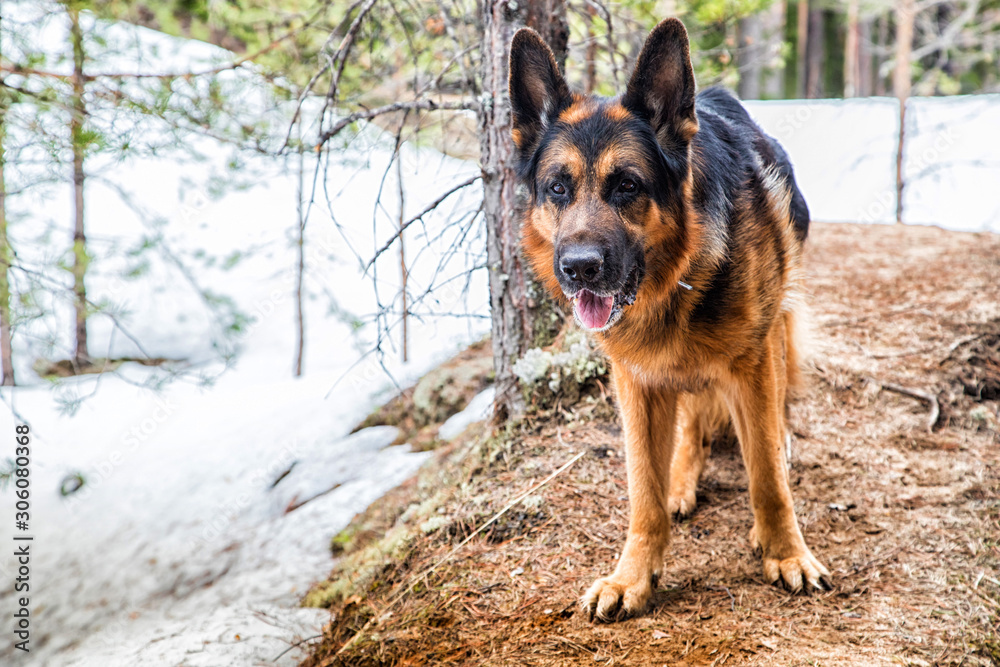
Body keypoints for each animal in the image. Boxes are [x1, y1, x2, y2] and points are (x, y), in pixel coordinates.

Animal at [512, 19, 832, 620]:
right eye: (557, 188)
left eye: (628, 185)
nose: (579, 268)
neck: (678, 282)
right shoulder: (636, 382)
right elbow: (644, 491)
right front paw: (633, 576)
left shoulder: (752, 363)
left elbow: (767, 479)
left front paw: (785, 553)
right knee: (691, 422)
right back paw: (683, 478)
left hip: (774, 328)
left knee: (773, 416)